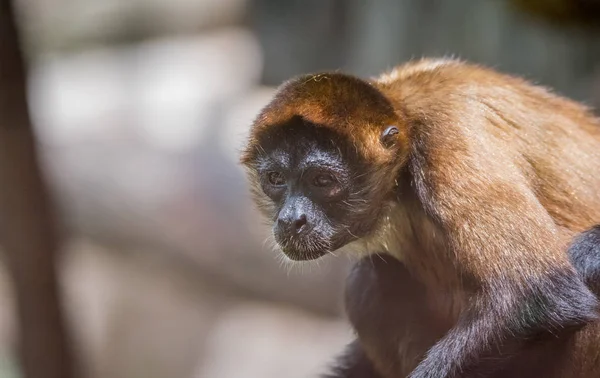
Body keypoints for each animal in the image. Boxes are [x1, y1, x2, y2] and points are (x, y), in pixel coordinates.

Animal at [241, 57, 600, 376]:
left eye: (322, 181)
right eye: (275, 179)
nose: (291, 219)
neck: (406, 117)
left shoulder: (449, 134)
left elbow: (539, 298)